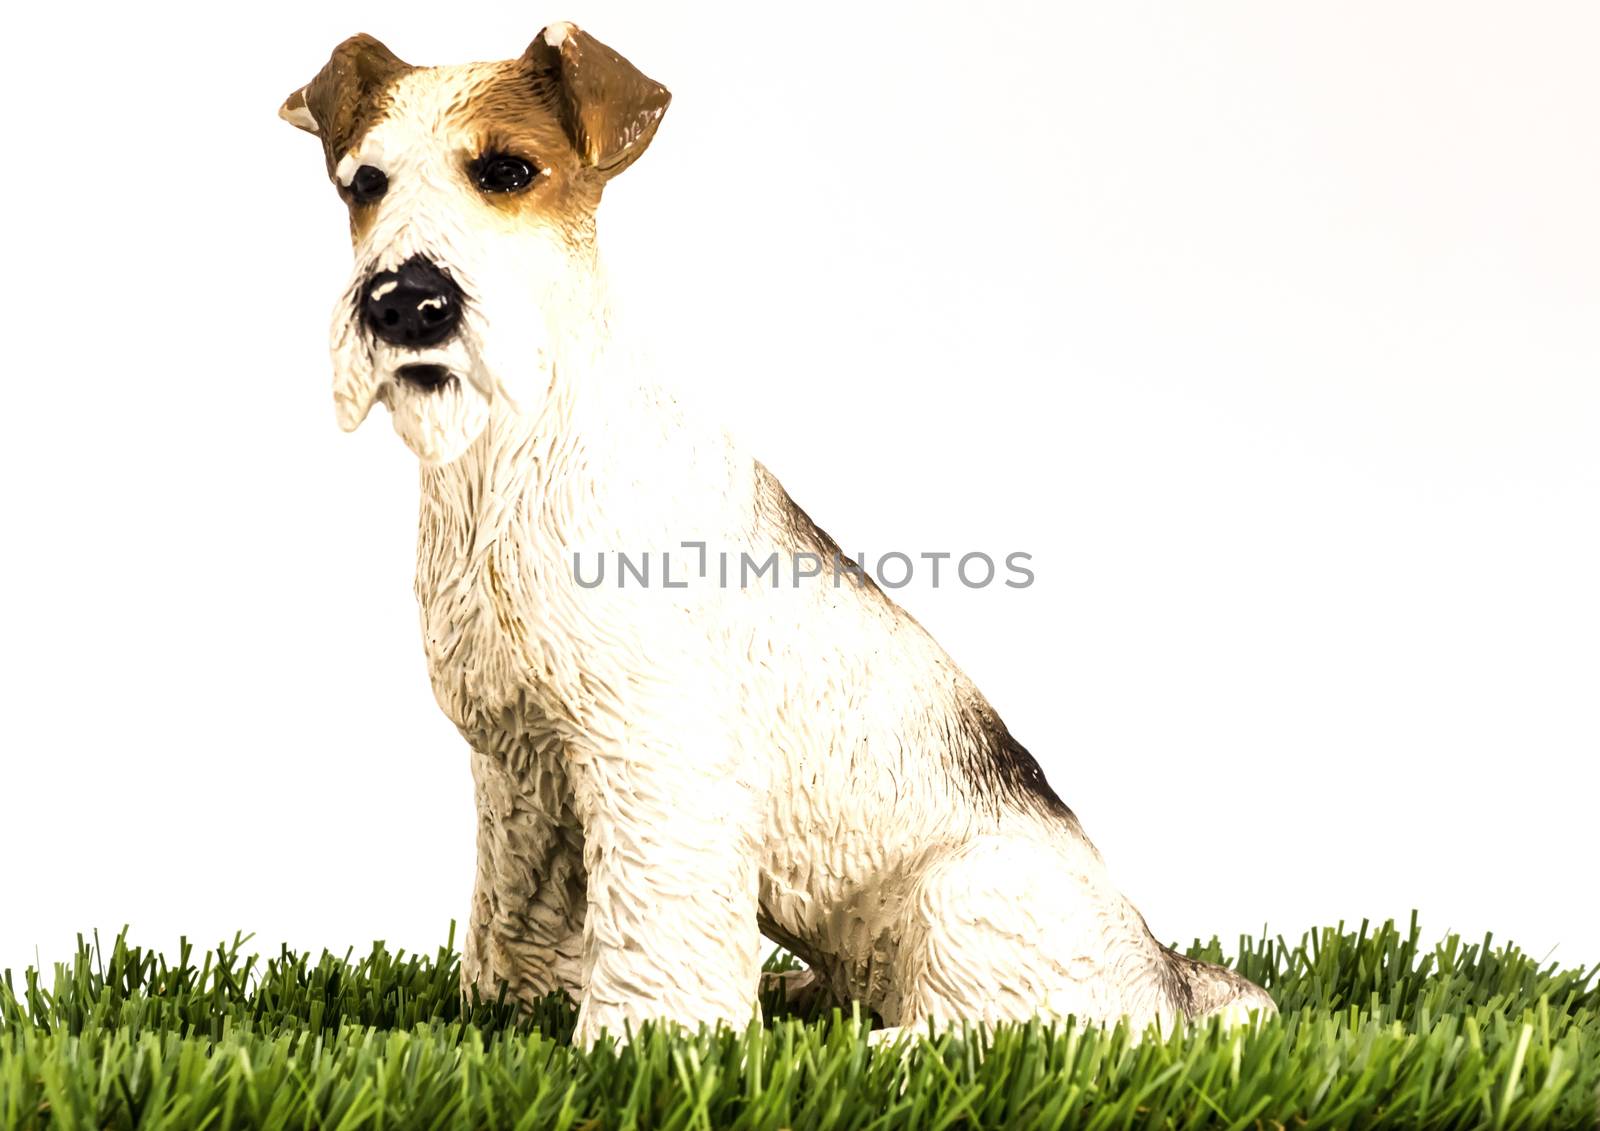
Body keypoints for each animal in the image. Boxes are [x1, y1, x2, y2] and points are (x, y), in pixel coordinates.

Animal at [278, 22, 1273, 1049]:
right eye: (363, 183)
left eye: (508, 169)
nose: (405, 303)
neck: (512, 459)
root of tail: (1171, 980)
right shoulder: (523, 771)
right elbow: (515, 915)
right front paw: (507, 1015)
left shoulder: (657, 757)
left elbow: (651, 942)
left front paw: (638, 1042)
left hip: (971, 894)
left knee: (1020, 1026)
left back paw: (878, 1045)